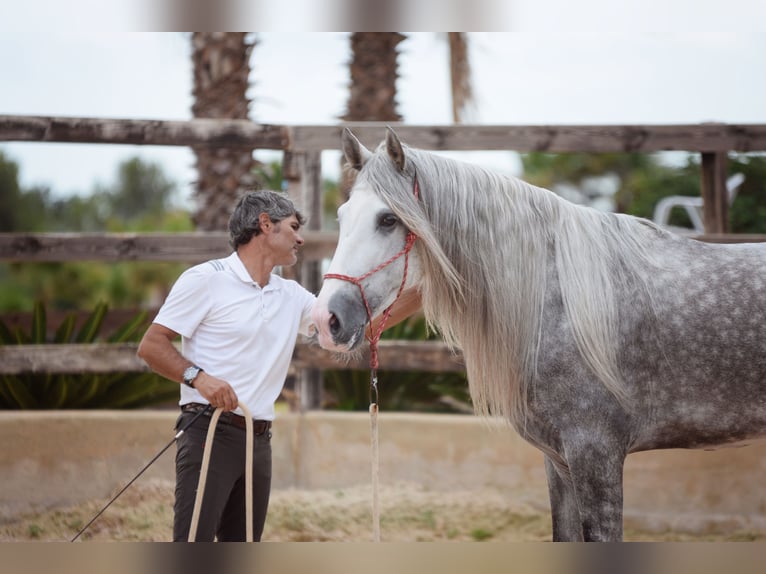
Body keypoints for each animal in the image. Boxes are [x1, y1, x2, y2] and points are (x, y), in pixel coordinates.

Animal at [312, 128, 766, 544]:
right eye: (342, 217)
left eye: (388, 219)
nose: (325, 319)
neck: (560, 299)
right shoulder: (559, 461)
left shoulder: (596, 454)